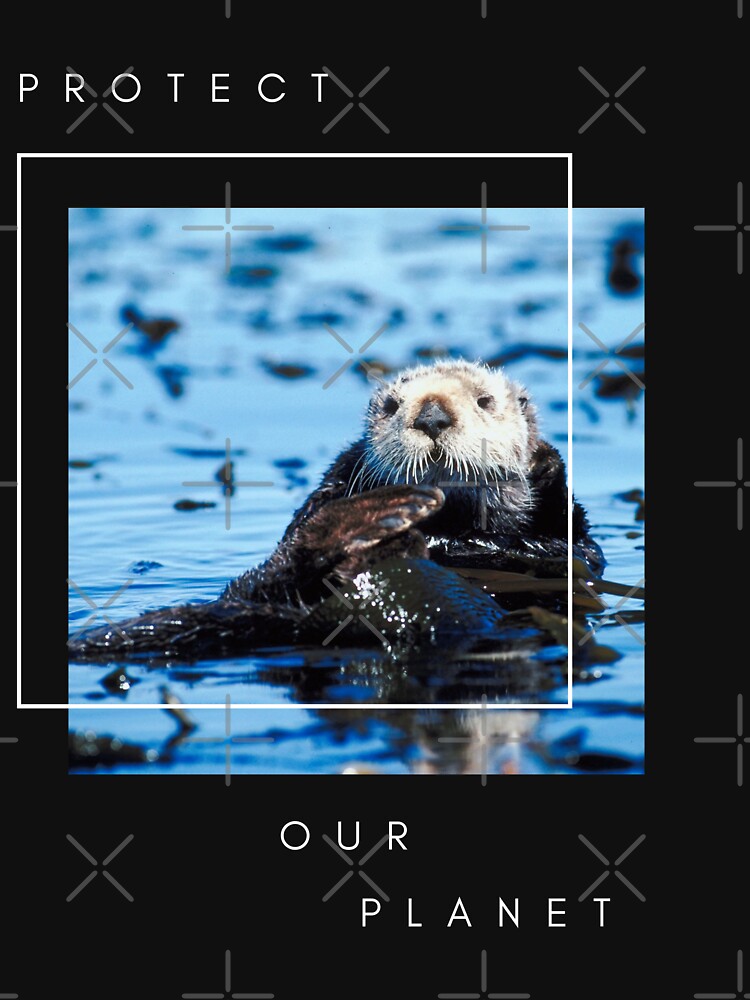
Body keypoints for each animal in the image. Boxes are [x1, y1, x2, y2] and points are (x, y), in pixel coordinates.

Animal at [68, 359, 602, 659]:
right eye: (391, 406)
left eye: (486, 401)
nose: (431, 417)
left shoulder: (568, 547)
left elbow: (567, 550)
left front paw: (542, 465)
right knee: (290, 559)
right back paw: (384, 517)